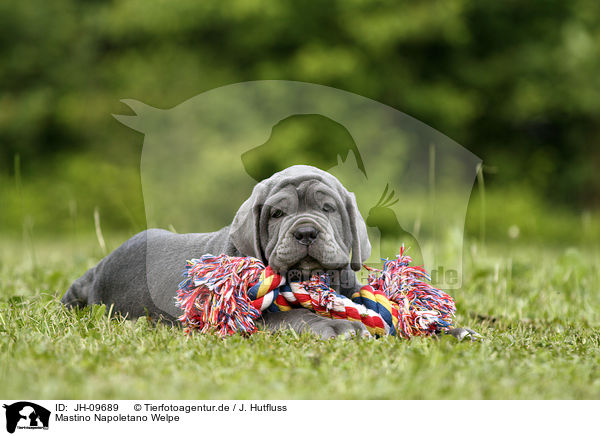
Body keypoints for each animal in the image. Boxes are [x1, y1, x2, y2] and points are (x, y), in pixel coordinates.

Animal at [61, 165, 370, 338]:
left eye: (328, 208)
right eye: (277, 214)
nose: (305, 232)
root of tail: (99, 267)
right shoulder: (245, 317)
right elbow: (293, 316)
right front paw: (338, 328)